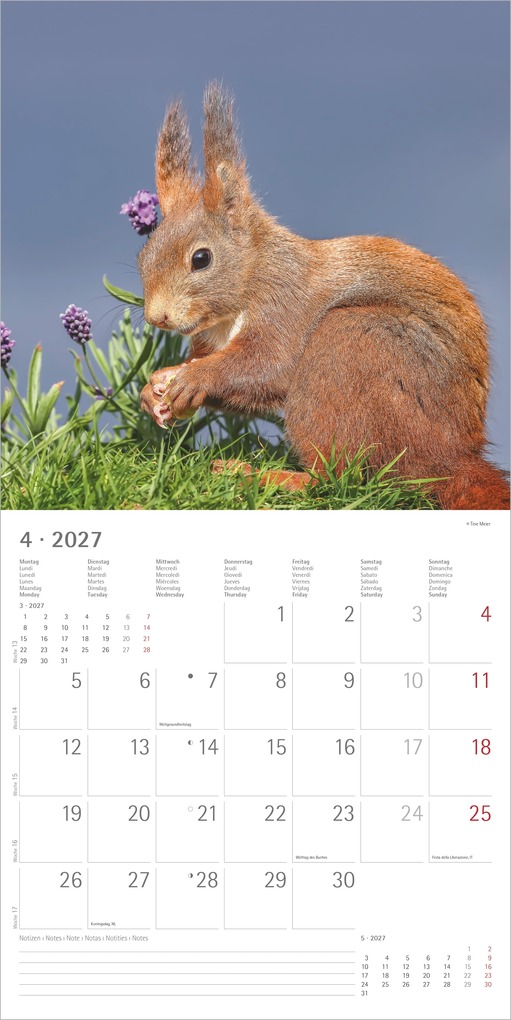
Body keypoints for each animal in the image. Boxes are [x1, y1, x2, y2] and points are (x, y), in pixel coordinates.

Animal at [139, 82, 509, 510]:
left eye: (201, 258)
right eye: (144, 255)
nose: (157, 318)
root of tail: (450, 458)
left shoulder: (287, 305)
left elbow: (269, 365)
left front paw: (194, 377)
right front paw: (156, 386)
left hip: (348, 344)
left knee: (334, 480)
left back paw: (260, 475)